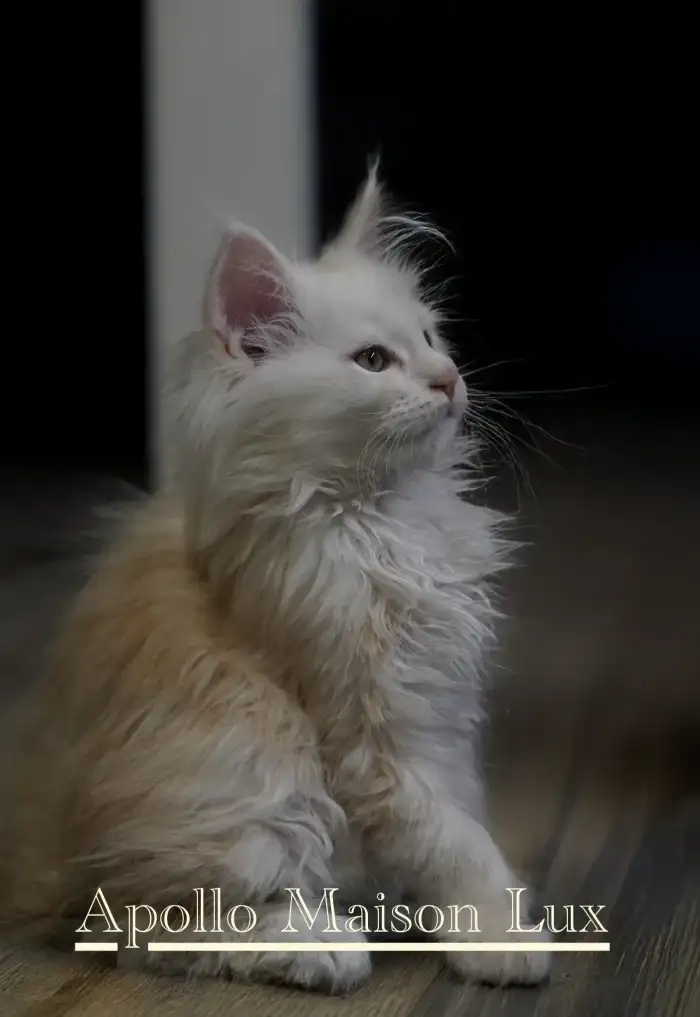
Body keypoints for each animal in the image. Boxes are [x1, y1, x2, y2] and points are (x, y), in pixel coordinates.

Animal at [0, 170, 551, 994]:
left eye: (431, 339)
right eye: (374, 361)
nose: (449, 380)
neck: (379, 515)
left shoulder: (443, 722)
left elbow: (458, 821)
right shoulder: (375, 733)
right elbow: (456, 841)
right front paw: (501, 936)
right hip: (248, 790)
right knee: (153, 931)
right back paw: (320, 945)